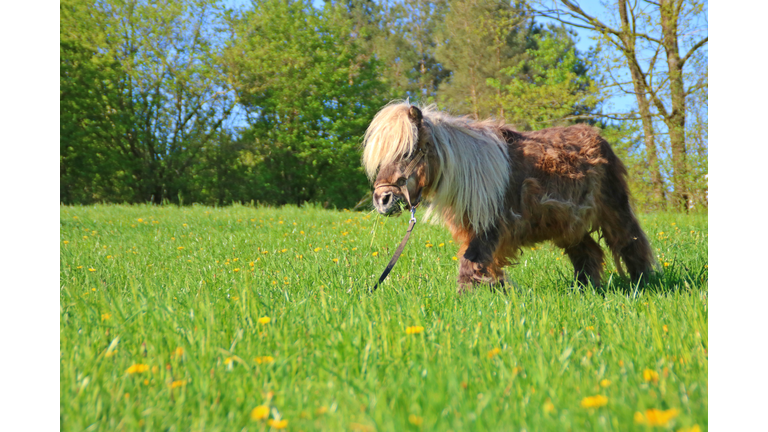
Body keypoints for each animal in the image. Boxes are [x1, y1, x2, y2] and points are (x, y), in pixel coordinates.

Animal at [362, 101, 656, 293]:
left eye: (408, 152)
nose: (382, 200)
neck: (471, 169)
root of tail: (596, 136)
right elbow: (476, 263)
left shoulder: (493, 226)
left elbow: (471, 263)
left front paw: (470, 296)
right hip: (568, 224)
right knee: (588, 253)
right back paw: (584, 289)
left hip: (613, 209)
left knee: (630, 242)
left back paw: (644, 282)